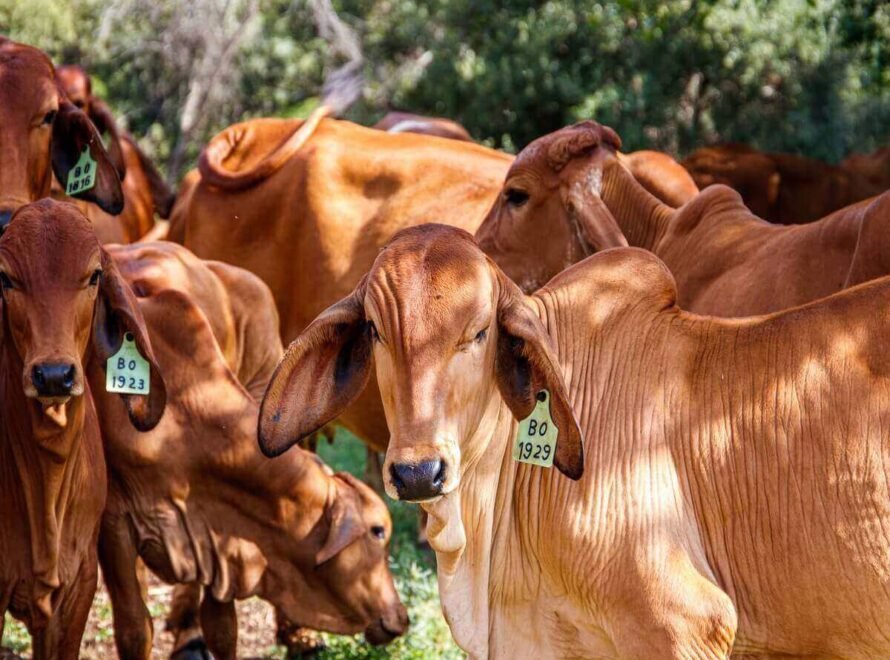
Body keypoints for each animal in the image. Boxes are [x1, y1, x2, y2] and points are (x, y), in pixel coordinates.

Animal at [91, 243, 408, 660]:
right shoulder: (114, 523)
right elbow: (133, 626)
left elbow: (223, 627)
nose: (401, 617)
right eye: (377, 531)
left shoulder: (224, 540)